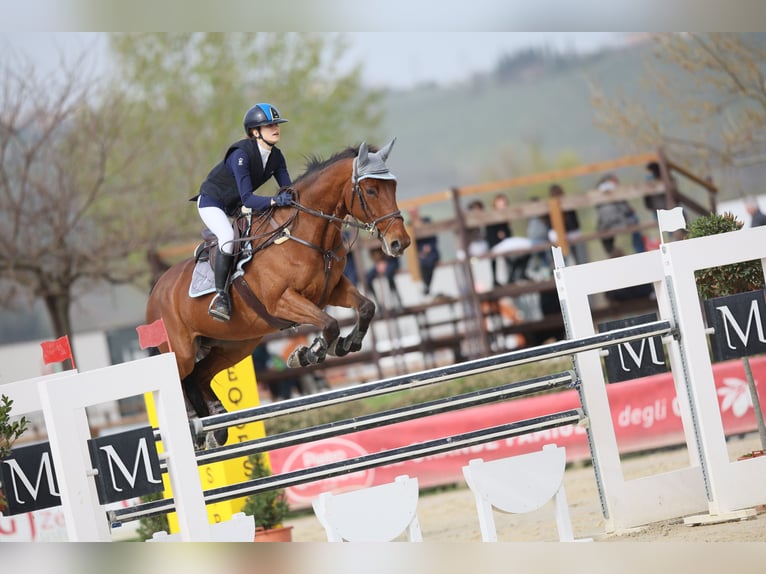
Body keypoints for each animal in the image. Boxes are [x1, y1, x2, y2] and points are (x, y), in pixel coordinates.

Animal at [146, 139, 410, 448]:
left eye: (393, 187)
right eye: (370, 190)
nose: (400, 242)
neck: (305, 235)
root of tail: (155, 292)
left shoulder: (331, 291)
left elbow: (366, 307)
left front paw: (345, 344)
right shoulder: (282, 301)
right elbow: (329, 324)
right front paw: (309, 353)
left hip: (234, 346)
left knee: (198, 377)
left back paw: (216, 426)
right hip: (181, 351)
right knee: (180, 379)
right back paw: (196, 428)